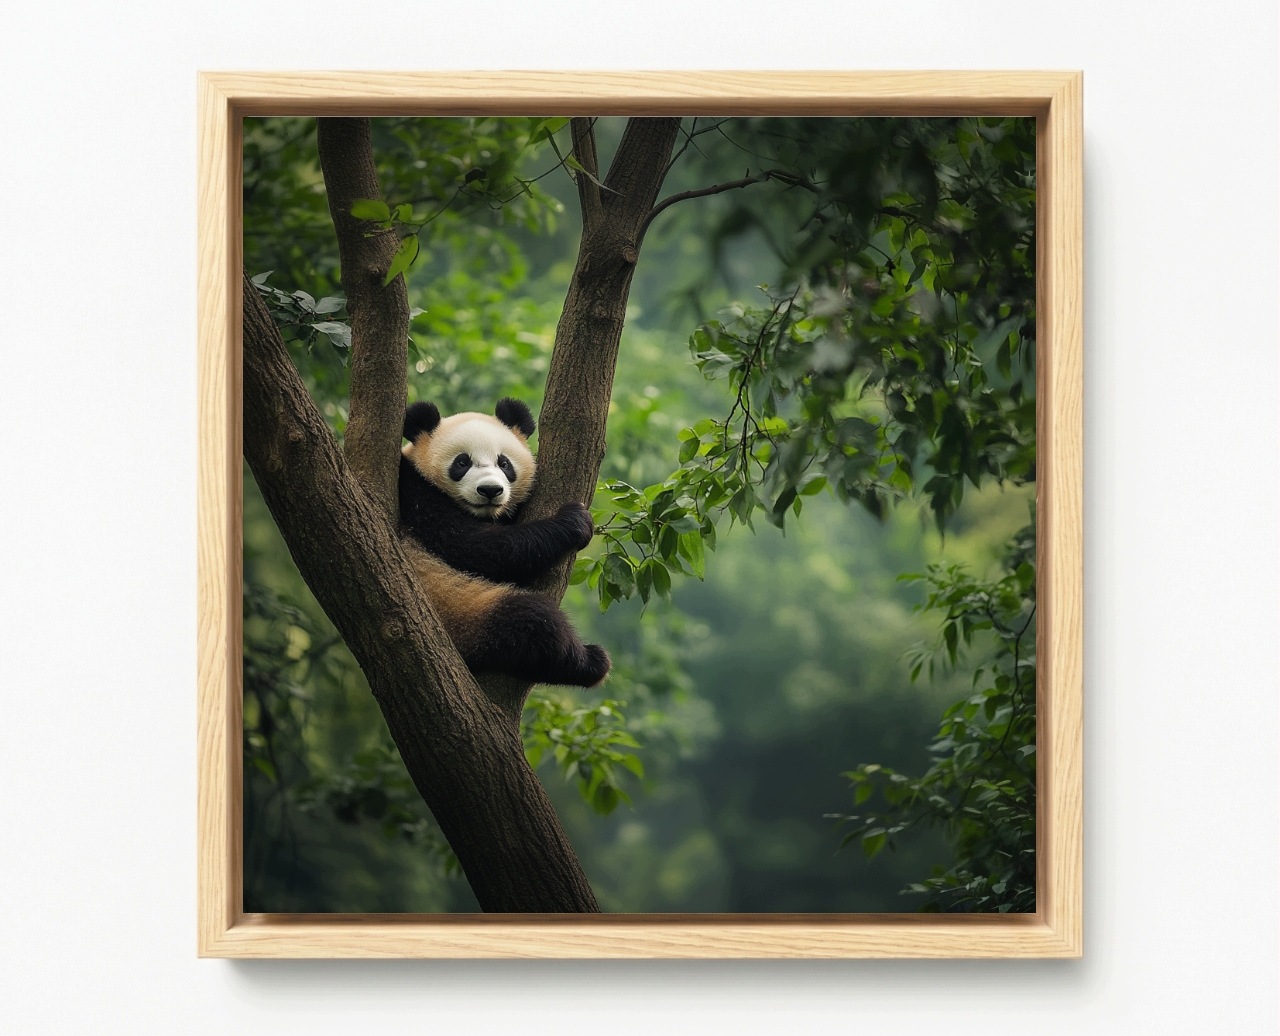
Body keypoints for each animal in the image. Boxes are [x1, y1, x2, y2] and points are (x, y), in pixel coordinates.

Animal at [397, 396, 611, 688]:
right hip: (465, 614)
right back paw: (591, 662)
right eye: (461, 463)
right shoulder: (415, 498)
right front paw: (573, 521)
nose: (490, 490)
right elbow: (483, 550)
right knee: (534, 622)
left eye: (504, 463)